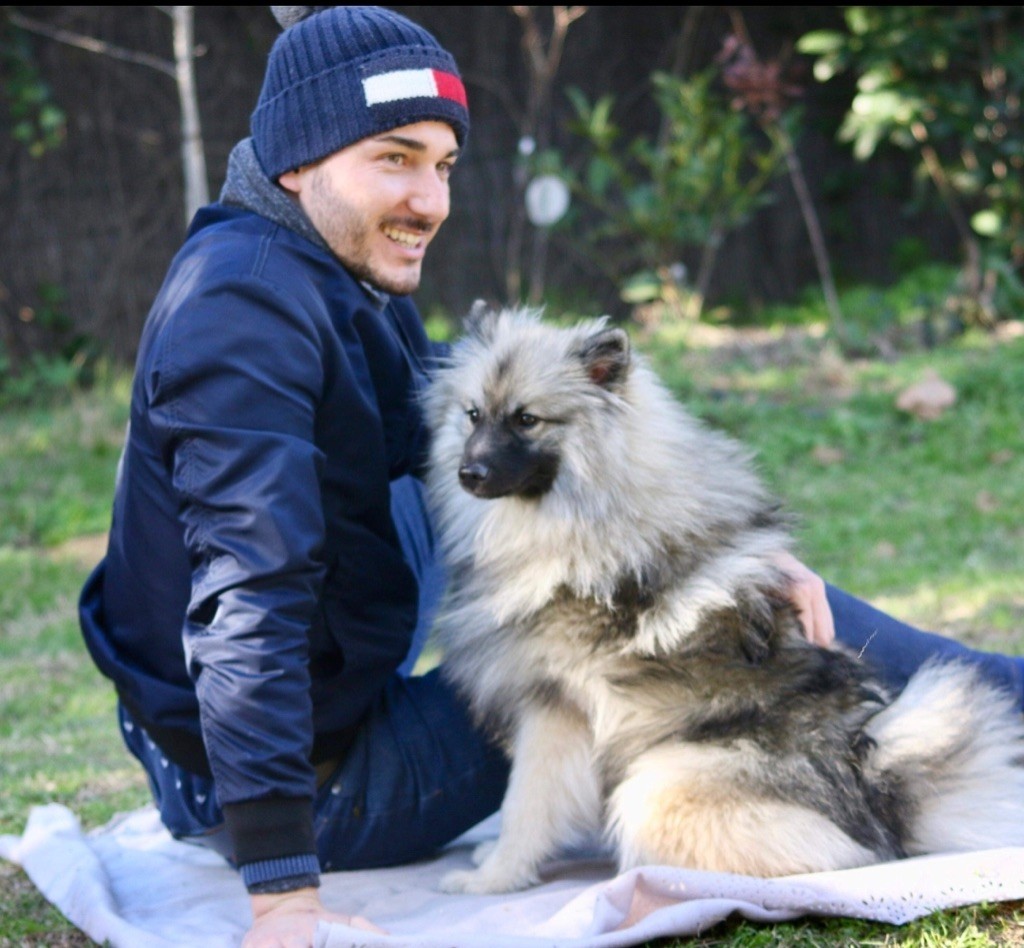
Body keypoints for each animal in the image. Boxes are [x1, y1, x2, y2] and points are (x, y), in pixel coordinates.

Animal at [423, 307, 1024, 892]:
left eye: (526, 419)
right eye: (473, 415)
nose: (469, 472)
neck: (587, 515)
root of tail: (872, 788)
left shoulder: (555, 712)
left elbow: (524, 806)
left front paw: (490, 879)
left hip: (653, 789)